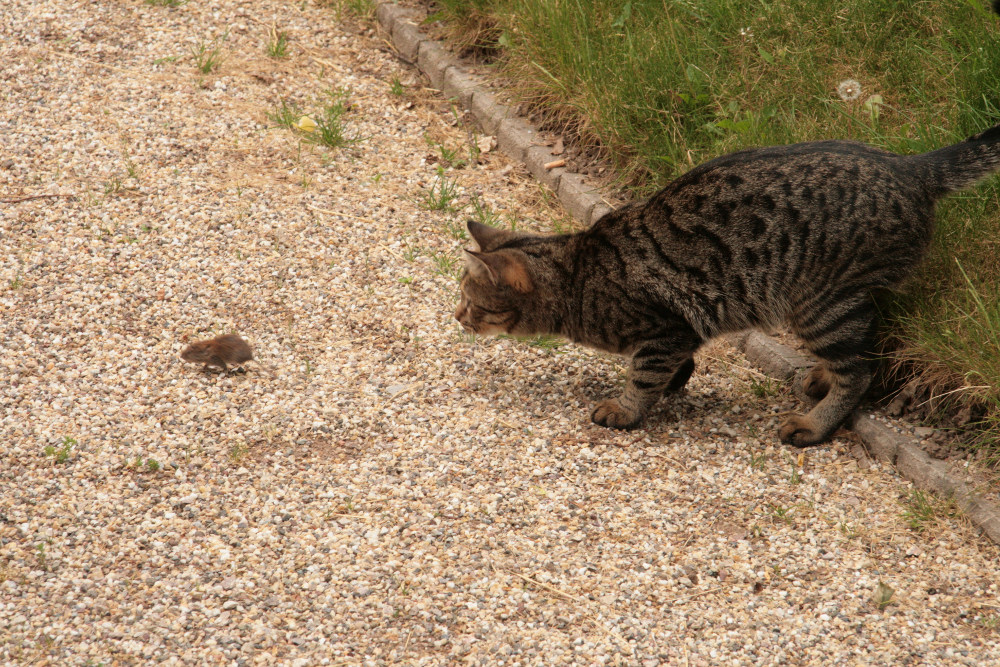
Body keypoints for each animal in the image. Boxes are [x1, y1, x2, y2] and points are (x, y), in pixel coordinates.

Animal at [454, 125, 1000, 448]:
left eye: (469, 301)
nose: (455, 317)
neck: (577, 278)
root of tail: (910, 165)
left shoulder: (665, 329)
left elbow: (643, 377)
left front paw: (626, 409)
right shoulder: (678, 332)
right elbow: (672, 368)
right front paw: (676, 382)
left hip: (819, 302)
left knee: (860, 371)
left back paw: (815, 423)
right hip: (843, 301)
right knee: (865, 350)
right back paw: (820, 380)